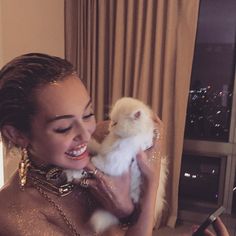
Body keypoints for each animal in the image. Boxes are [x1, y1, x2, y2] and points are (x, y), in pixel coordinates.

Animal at [64, 97, 168, 233]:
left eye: (116, 123)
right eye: (112, 121)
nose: (110, 126)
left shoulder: (116, 161)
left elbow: (97, 163)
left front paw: (82, 167)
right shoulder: (104, 149)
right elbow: (95, 149)